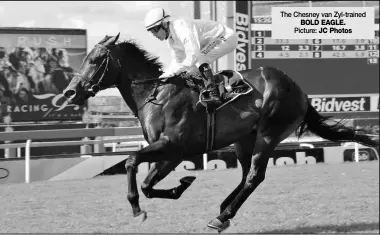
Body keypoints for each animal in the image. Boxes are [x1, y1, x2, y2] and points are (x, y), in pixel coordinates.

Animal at [62, 34, 378, 232]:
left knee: (254, 176)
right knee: (246, 174)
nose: (70, 92)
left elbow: (130, 162)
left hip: (268, 133)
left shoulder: (172, 146)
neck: (156, 94)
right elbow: (149, 184)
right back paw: (225, 207)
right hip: (243, 139)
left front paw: (138, 209)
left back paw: (222, 216)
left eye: (94, 60)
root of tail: (300, 90)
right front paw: (182, 184)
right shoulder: (169, 153)